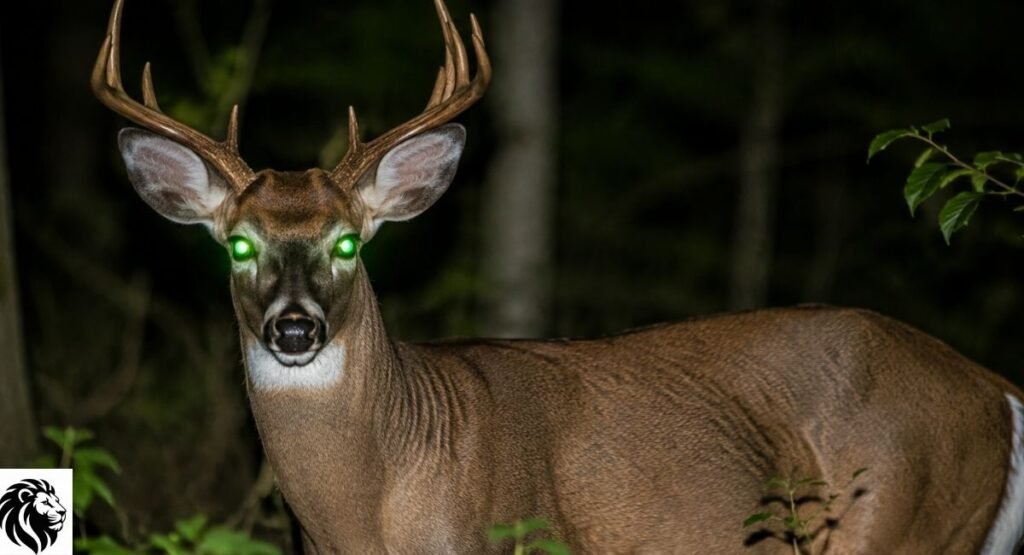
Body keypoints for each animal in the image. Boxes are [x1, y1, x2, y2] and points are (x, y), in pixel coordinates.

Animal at [92, 0, 1024, 553]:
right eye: (238, 246)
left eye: (351, 243)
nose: (294, 327)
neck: (371, 509)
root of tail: (997, 389)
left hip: (903, 514)